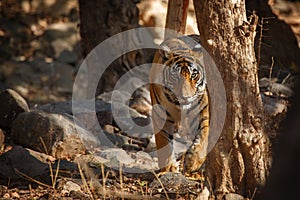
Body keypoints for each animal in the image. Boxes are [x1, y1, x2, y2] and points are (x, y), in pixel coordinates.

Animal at [149, 34, 210, 175]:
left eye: (194, 75)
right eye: (175, 76)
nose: (185, 97)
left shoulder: (202, 113)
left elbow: (204, 136)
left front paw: (193, 162)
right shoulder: (161, 117)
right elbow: (164, 144)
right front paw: (169, 168)